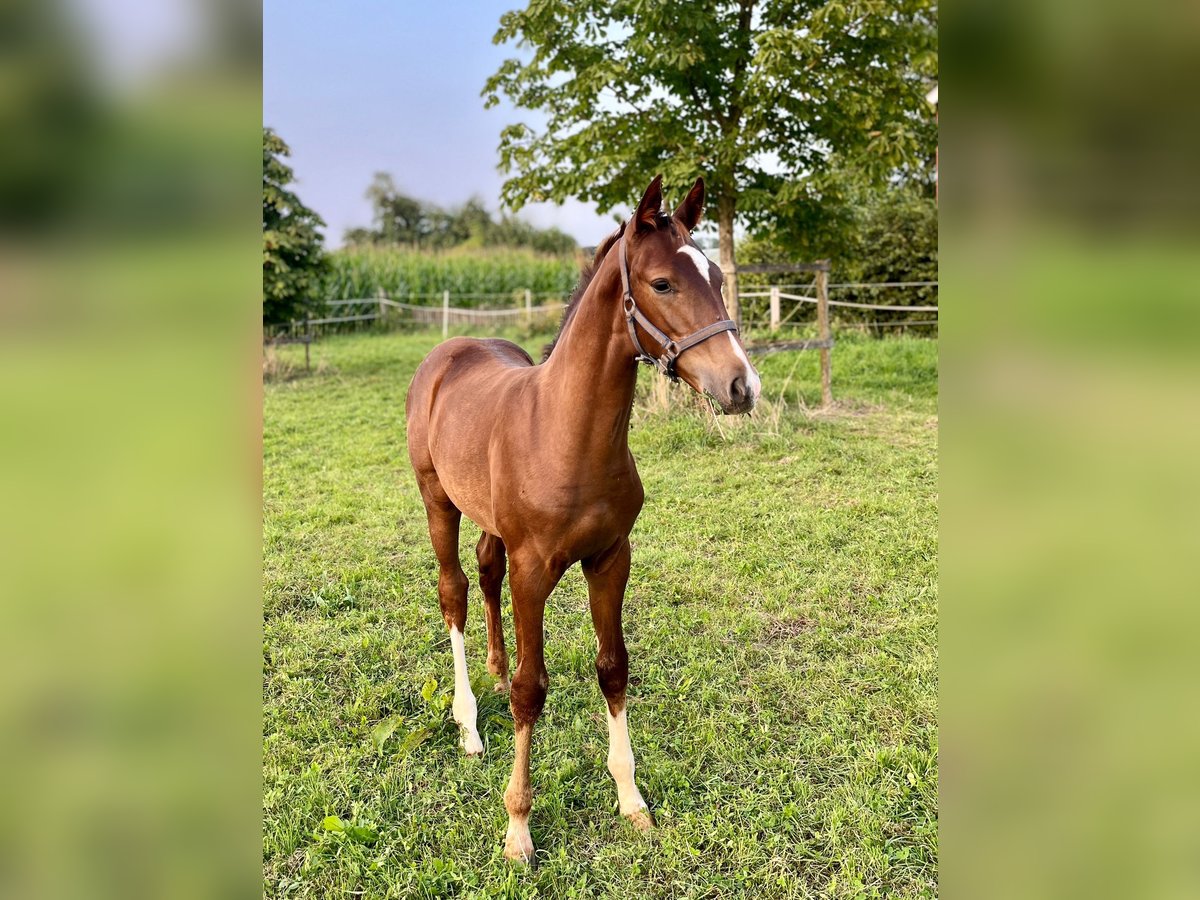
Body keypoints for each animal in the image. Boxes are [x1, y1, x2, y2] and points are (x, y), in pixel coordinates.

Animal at [405, 174, 758, 859]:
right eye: (662, 283)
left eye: (715, 275)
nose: (741, 386)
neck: (566, 433)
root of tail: (450, 350)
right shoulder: (534, 571)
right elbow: (531, 689)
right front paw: (518, 827)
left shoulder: (610, 557)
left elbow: (612, 668)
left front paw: (632, 800)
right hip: (438, 500)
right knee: (454, 592)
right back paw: (468, 723)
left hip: (488, 518)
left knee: (484, 572)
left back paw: (491, 672)